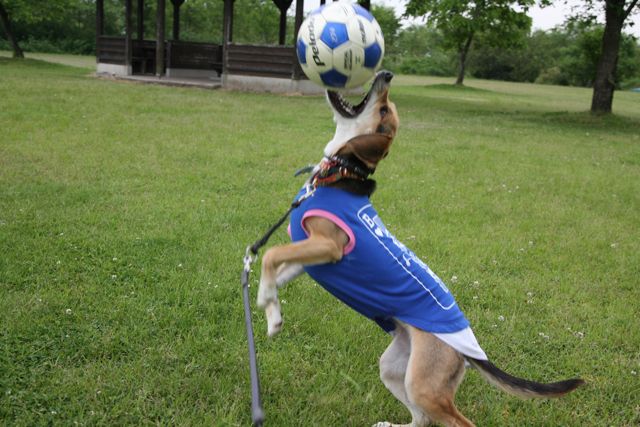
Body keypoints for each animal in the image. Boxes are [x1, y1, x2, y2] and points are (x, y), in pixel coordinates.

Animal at [256, 71, 584, 427]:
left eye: (384, 110)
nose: (386, 74)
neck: (341, 172)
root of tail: (469, 352)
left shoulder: (328, 246)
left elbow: (269, 255)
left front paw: (264, 297)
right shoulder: (310, 257)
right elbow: (275, 269)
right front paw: (272, 311)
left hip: (426, 385)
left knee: (455, 421)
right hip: (397, 369)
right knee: (422, 418)